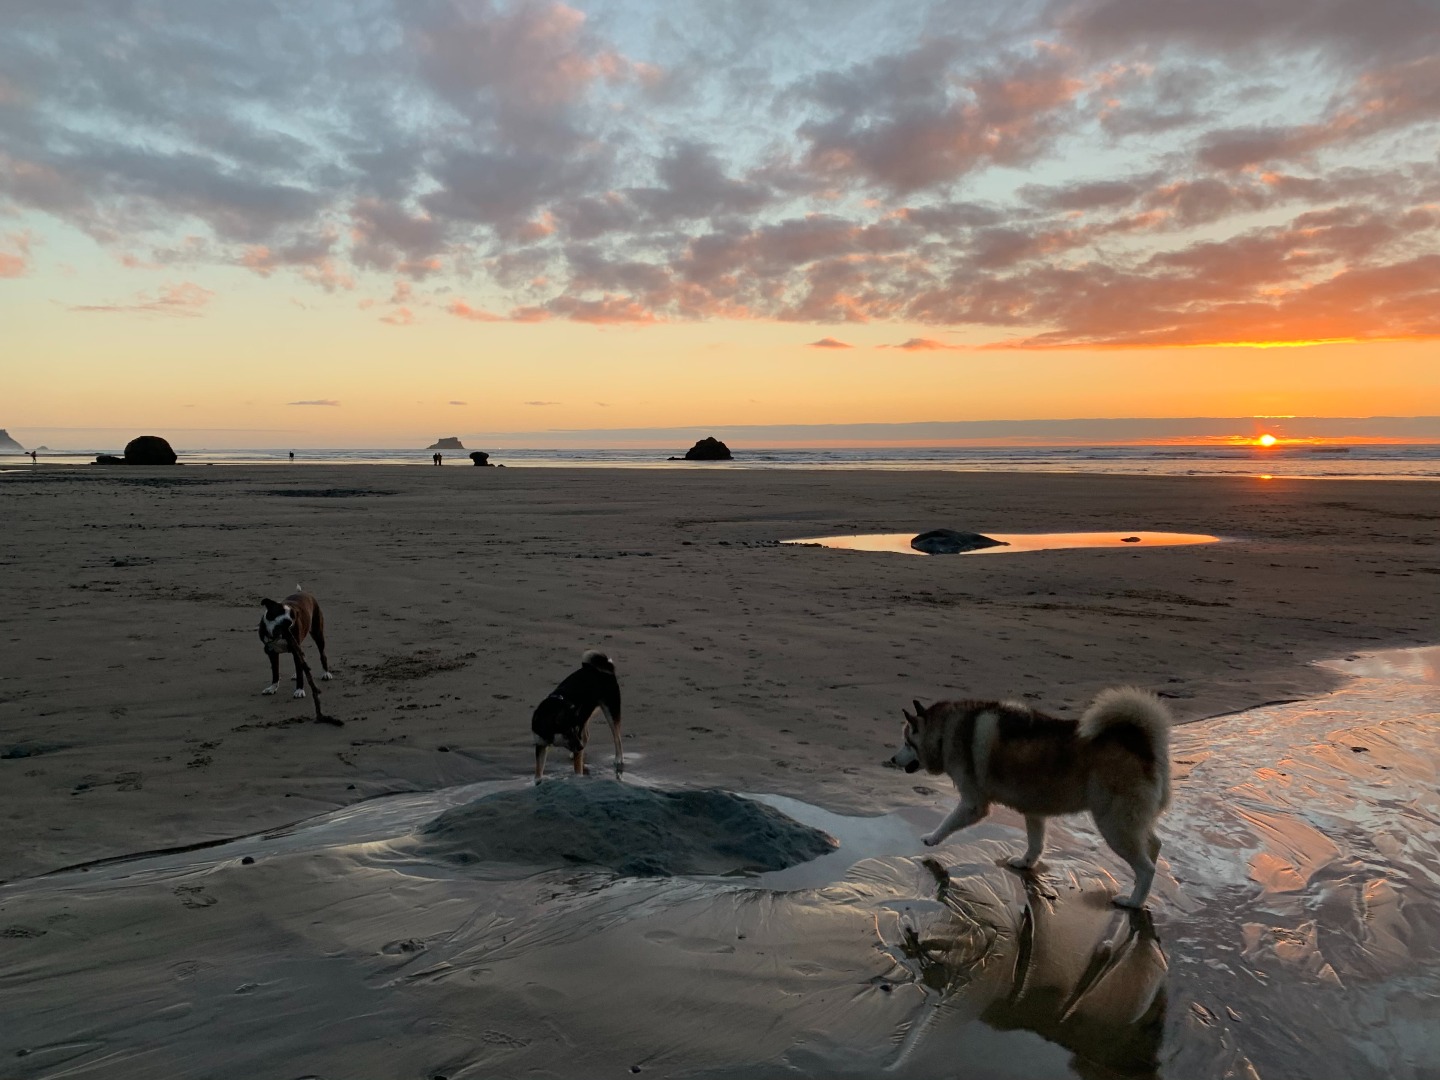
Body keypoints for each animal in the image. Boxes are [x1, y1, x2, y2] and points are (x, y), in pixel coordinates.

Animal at [529, 648, 619, 783]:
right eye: (567, 733)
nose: (580, 747)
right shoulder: (540, 745)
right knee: (587, 735)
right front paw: (537, 783)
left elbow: (577, 770)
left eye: (574, 731)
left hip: (611, 711)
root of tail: (603, 667)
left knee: (617, 738)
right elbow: (538, 771)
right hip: (585, 715)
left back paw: (618, 759)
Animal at [887, 688, 1169, 910]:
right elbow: (1035, 843)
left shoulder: (973, 804)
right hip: (1129, 821)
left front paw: (932, 838)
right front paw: (1025, 863)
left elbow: (948, 822)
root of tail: (1142, 744)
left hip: (1113, 824)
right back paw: (1140, 888)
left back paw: (1134, 901)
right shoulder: (1035, 810)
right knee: (1153, 845)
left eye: (907, 742)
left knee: (1147, 867)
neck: (946, 731)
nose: (892, 759)